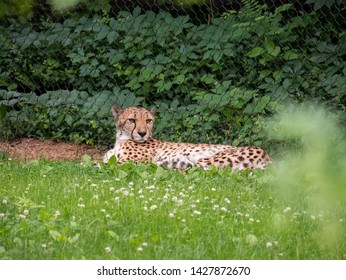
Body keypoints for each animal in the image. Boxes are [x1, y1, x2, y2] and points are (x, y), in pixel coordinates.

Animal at [104, 105, 272, 170]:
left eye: (148, 121)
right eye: (132, 120)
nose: (142, 133)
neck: (121, 139)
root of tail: (268, 156)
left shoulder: (130, 162)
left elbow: (103, 164)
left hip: (209, 160)